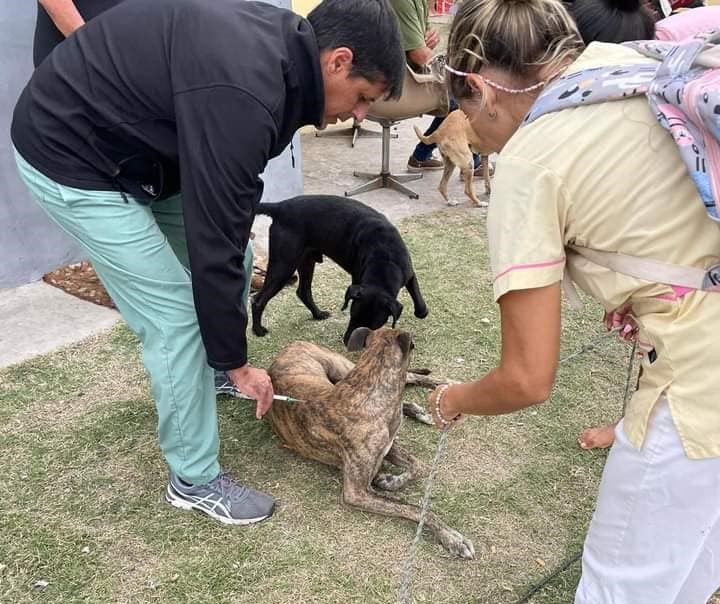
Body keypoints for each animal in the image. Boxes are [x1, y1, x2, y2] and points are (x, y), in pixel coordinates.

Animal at [250, 196, 428, 342]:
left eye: (373, 325)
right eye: (353, 315)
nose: (349, 342)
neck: (385, 257)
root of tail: (280, 206)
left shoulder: (408, 273)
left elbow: (418, 298)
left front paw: (422, 312)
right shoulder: (357, 278)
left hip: (306, 260)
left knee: (303, 292)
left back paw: (318, 314)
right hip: (284, 265)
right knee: (258, 300)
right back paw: (258, 330)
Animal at [268, 328, 476, 560]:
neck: (367, 391)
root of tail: (290, 345)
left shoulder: (386, 446)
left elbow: (418, 466)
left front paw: (391, 480)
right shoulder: (357, 492)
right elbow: (413, 506)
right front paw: (452, 537)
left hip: (341, 369)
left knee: (412, 377)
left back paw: (439, 387)